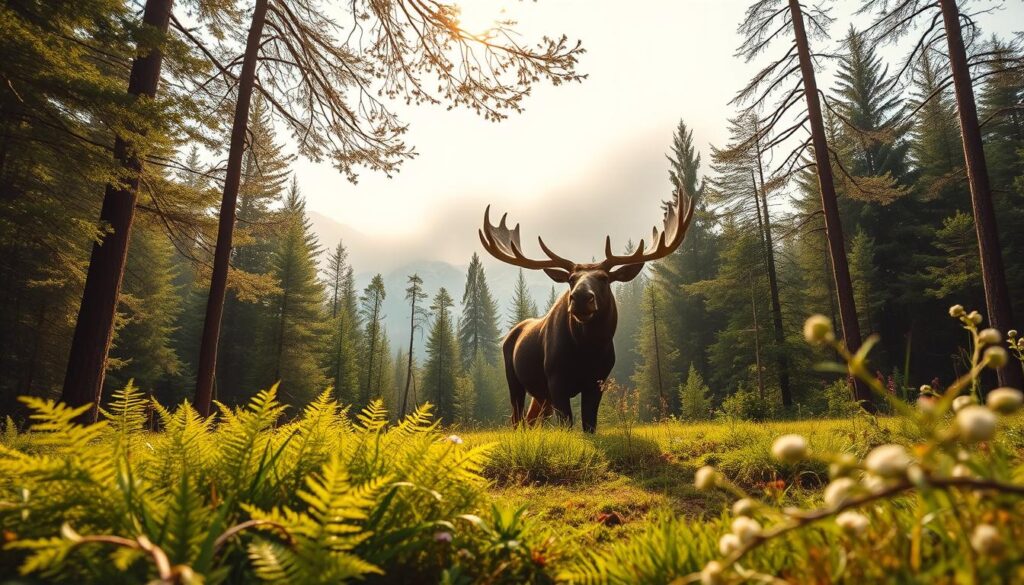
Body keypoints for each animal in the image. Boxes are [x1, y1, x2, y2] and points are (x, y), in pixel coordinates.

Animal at [478, 188, 694, 433]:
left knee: (533, 418)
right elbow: (566, 423)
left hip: (541, 394)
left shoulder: (598, 381)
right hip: (514, 379)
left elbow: (589, 424)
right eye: (571, 279)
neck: (587, 350)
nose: (581, 297)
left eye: (604, 278)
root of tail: (510, 335)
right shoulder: (556, 378)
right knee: (517, 418)